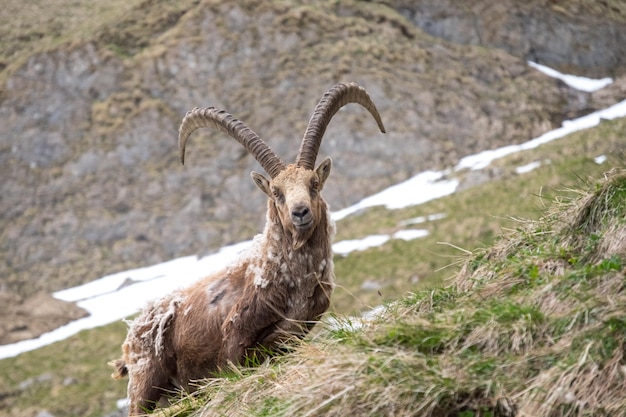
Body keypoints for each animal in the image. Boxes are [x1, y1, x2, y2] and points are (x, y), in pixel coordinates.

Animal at [111, 81, 386, 412]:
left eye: (314, 184)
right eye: (277, 192)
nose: (300, 212)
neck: (285, 275)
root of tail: (131, 335)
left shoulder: (292, 336)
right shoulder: (234, 336)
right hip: (145, 382)